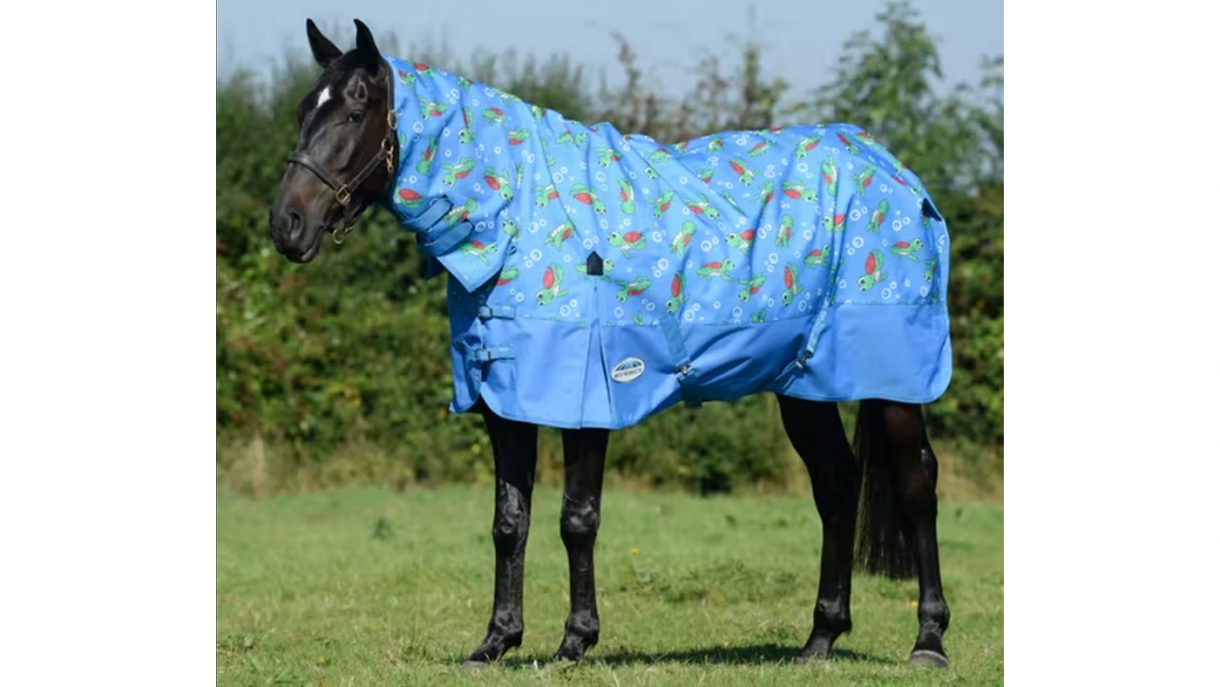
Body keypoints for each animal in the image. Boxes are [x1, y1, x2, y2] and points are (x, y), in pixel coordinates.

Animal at [268, 18, 953, 668]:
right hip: (804, 384)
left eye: (353, 113)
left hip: (892, 379)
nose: (287, 225)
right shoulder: (504, 400)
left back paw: (928, 641)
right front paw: (496, 642)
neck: (519, 215)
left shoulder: (587, 397)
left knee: (917, 485)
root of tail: (892, 169)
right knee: (836, 485)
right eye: (304, 111)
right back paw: (820, 639)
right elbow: (509, 522)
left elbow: (578, 519)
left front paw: (575, 641)